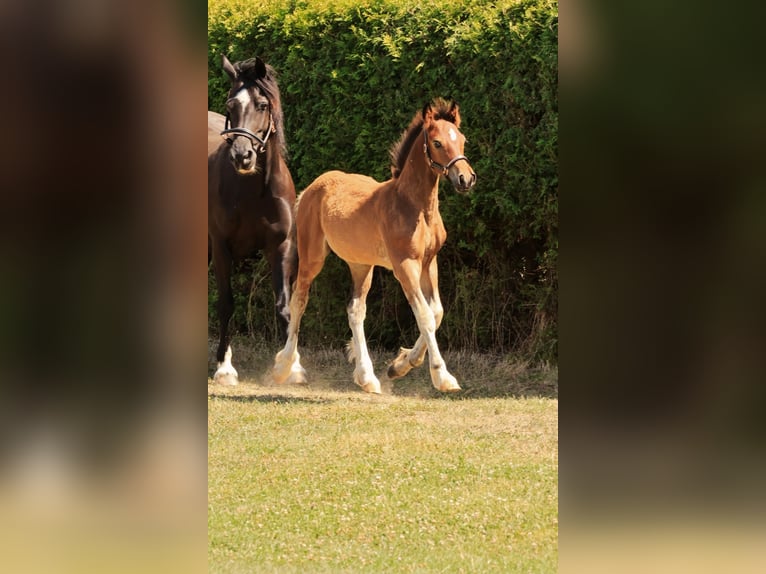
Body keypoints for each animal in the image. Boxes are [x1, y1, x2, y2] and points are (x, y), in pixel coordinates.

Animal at [208, 55, 297, 385]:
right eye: (230, 103)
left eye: (262, 104)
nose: (242, 156)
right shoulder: (221, 246)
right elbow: (226, 304)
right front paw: (224, 367)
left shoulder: (281, 247)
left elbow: (284, 306)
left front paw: (290, 366)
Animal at [272, 98, 476, 393]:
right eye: (437, 142)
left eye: (462, 140)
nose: (466, 179)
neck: (414, 206)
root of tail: (312, 187)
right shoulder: (405, 266)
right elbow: (425, 315)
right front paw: (442, 376)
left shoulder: (429, 262)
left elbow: (436, 312)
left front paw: (399, 365)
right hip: (313, 257)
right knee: (299, 300)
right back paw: (284, 367)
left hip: (361, 265)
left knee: (355, 311)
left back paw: (367, 377)